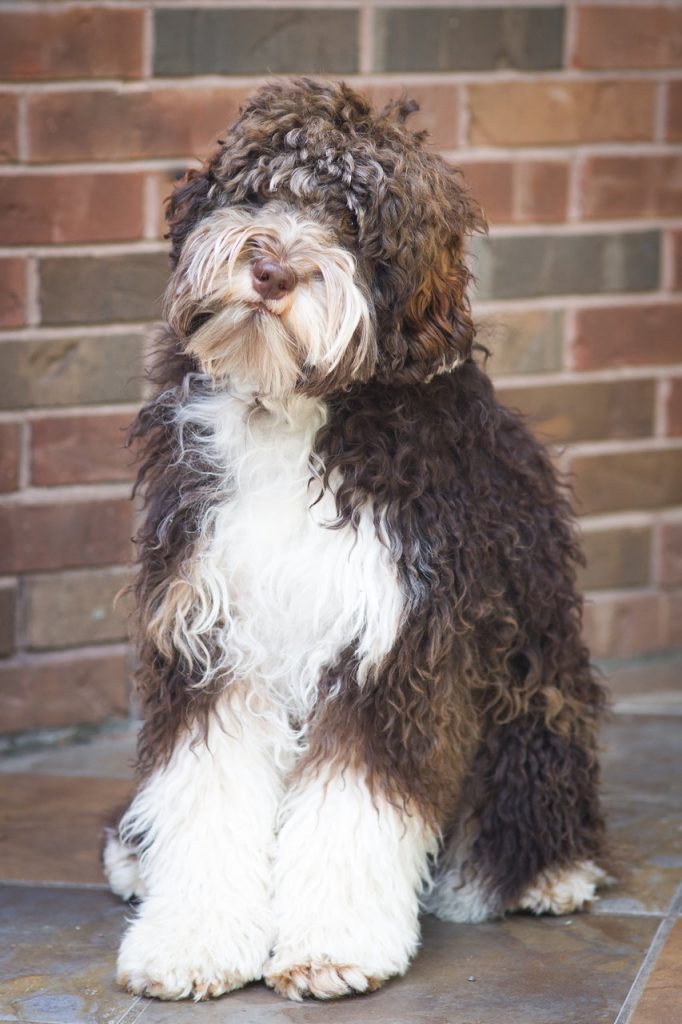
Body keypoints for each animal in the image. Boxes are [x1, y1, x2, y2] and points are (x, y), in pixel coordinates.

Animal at [104, 77, 606, 999]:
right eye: (262, 187)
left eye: (352, 220)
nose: (269, 269)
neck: (294, 413)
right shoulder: (209, 633)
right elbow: (205, 787)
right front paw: (193, 939)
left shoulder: (390, 645)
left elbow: (352, 801)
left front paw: (330, 946)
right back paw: (135, 856)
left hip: (537, 685)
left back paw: (536, 873)